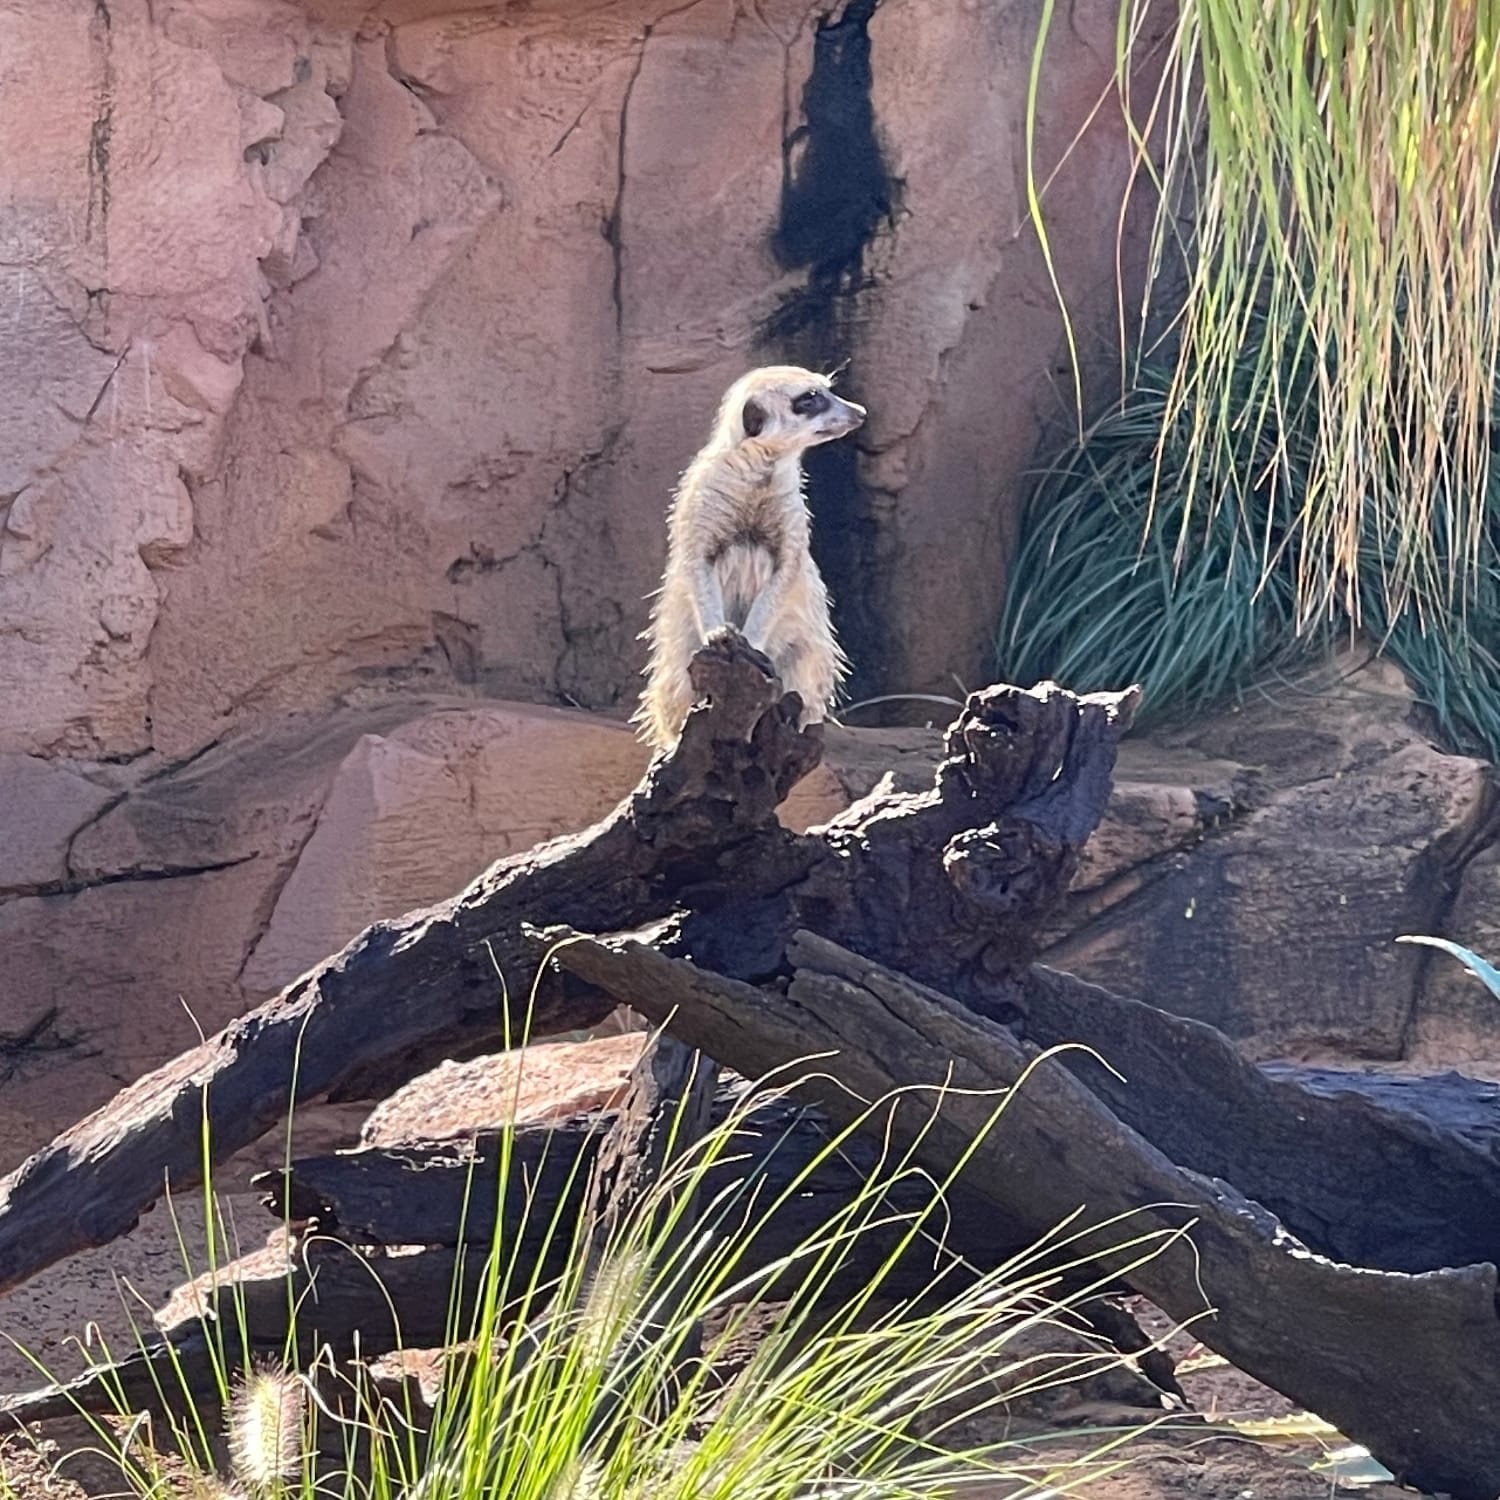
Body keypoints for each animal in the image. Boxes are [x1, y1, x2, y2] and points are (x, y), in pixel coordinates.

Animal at [634, 365, 865, 751]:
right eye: (810, 398)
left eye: (828, 390)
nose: (859, 412)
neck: (761, 473)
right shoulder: (701, 504)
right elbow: (697, 561)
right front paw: (718, 635)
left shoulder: (792, 519)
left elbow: (787, 570)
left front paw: (751, 642)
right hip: (676, 664)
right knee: (675, 691)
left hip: (807, 658)